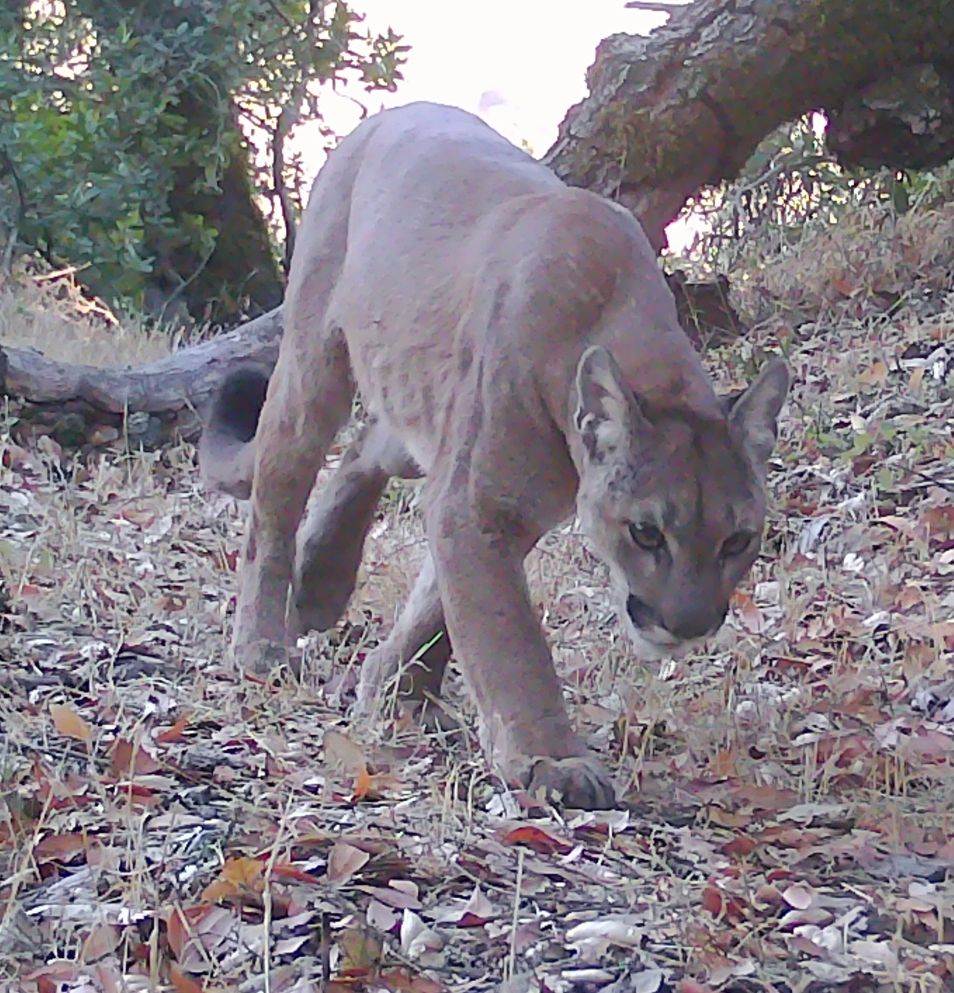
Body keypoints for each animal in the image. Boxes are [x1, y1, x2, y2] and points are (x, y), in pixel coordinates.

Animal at [199, 102, 790, 809]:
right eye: (646, 533)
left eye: (737, 541)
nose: (690, 623)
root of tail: (388, 115)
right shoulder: (478, 503)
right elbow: (508, 634)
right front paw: (549, 759)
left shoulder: (487, 502)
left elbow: (443, 605)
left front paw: (396, 692)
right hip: (314, 364)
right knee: (276, 496)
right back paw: (262, 643)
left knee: (368, 449)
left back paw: (319, 578)